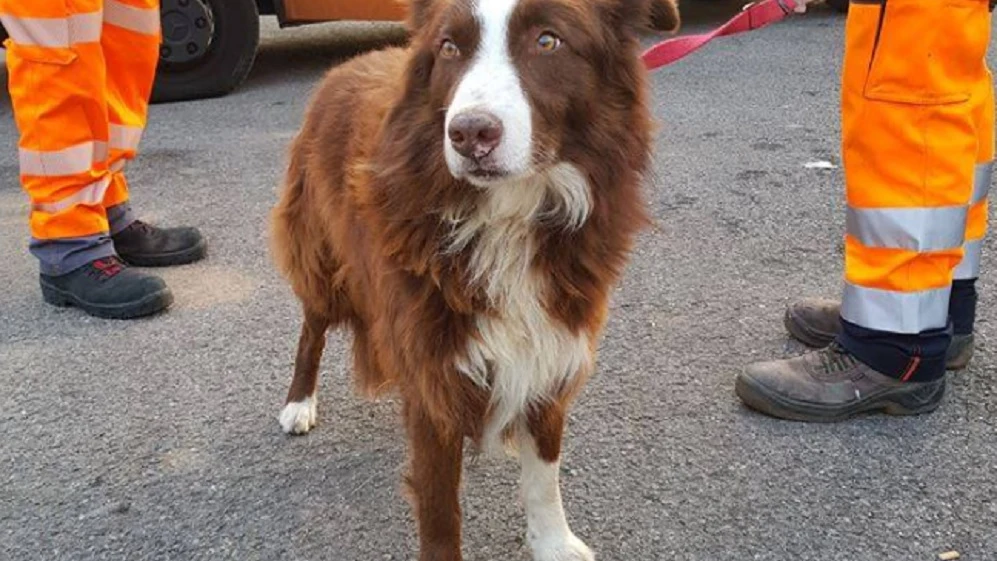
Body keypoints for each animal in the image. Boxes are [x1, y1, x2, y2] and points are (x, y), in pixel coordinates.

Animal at [270, 2, 676, 556]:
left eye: (548, 41)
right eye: (449, 48)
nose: (468, 134)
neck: (507, 214)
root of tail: (345, 66)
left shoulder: (552, 342)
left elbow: (544, 473)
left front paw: (553, 543)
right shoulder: (434, 360)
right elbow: (439, 503)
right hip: (324, 255)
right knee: (312, 329)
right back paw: (298, 402)